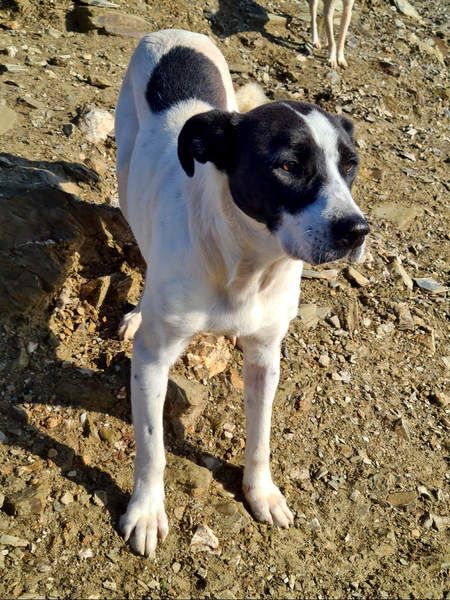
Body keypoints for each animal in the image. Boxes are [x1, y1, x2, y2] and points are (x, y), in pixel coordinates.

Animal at [115, 28, 369, 557]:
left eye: (351, 165)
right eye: (288, 165)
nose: (357, 231)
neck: (246, 265)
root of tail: (171, 33)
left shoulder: (266, 356)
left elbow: (260, 436)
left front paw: (261, 492)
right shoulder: (152, 360)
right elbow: (151, 447)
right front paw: (146, 510)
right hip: (125, 177)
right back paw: (136, 312)